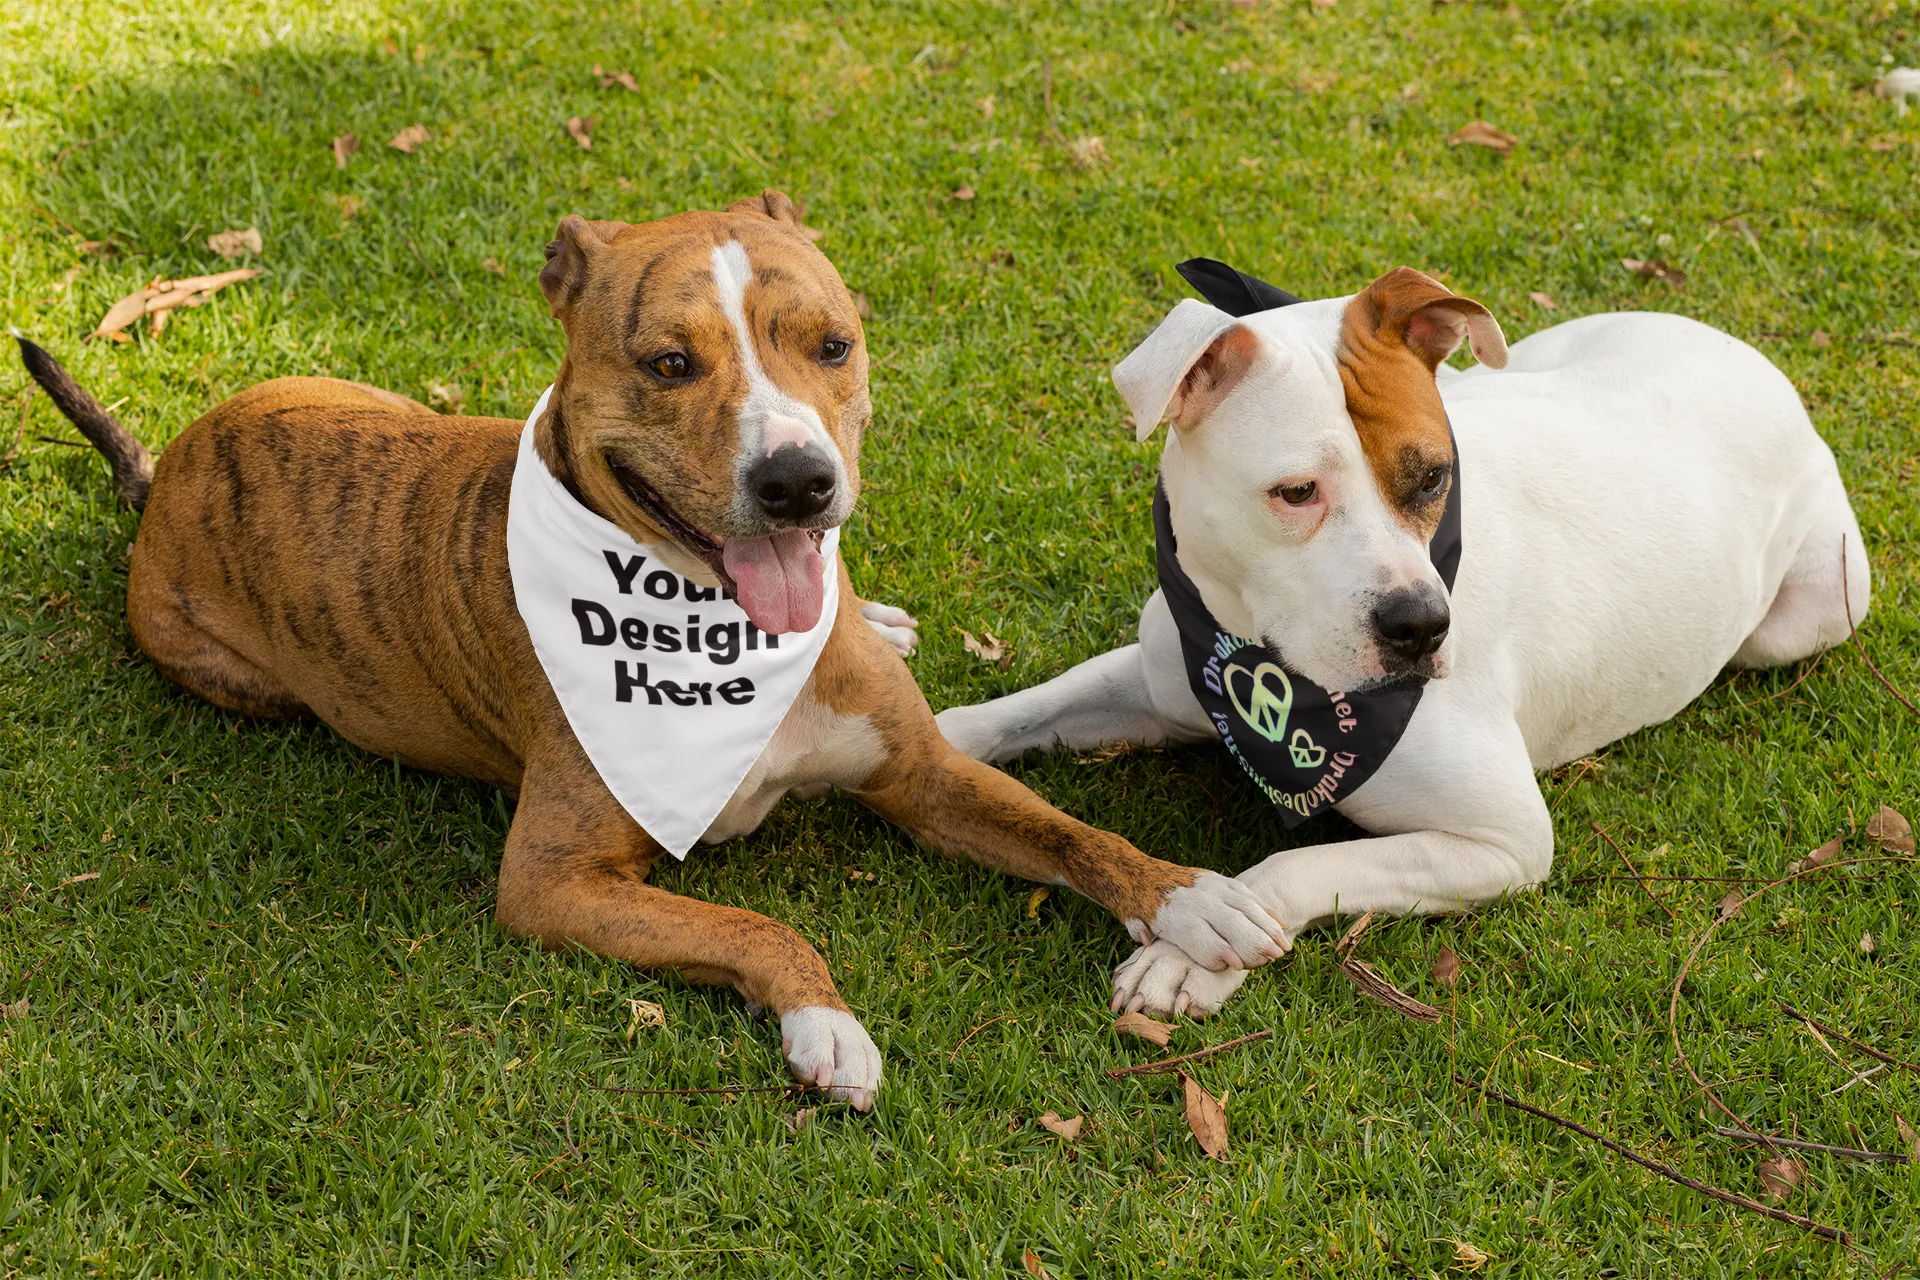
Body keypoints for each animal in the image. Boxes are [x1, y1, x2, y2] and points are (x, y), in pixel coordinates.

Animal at [18, 192, 1290, 1113]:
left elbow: (1072, 831)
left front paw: (1194, 902)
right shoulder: (555, 880)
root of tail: (170, 472)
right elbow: (753, 926)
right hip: (233, 674)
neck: (724, 639)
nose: (798, 481)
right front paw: (825, 1022)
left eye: (832, 344)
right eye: (668, 363)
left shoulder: (922, 773)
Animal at [936, 262, 1866, 1020]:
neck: (1260, 660)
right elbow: (1011, 714)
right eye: (1296, 492)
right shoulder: (1161, 682)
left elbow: (1294, 868)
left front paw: (1195, 951)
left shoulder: (1502, 841)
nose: (1421, 625)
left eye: (1432, 478)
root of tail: (1743, 351)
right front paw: (933, 737)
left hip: (1807, 614)